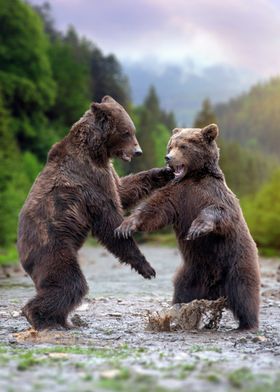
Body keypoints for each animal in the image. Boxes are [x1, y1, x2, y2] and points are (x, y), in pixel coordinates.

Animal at [17, 95, 173, 330]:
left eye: (132, 130)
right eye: (126, 132)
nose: (138, 151)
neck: (96, 152)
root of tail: (21, 251)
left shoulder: (107, 172)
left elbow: (123, 189)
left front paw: (164, 172)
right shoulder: (91, 182)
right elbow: (109, 221)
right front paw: (146, 267)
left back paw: (61, 321)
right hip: (53, 248)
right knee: (70, 283)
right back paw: (40, 317)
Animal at [116, 124, 260, 330]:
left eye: (183, 146)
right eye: (171, 145)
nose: (168, 157)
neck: (193, 176)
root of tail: (215, 289)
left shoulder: (213, 193)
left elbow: (220, 211)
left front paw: (197, 228)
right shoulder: (178, 195)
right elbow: (154, 209)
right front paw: (127, 225)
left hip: (236, 262)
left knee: (244, 292)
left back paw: (247, 324)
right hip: (193, 272)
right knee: (182, 292)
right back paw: (177, 314)